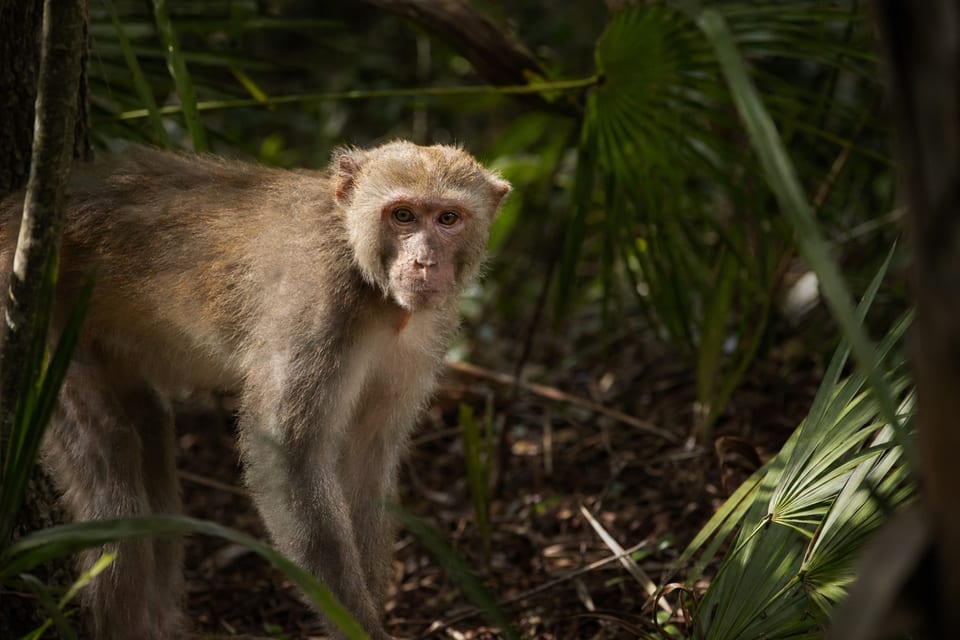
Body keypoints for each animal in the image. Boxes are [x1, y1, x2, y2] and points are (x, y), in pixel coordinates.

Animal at [0, 141, 510, 639]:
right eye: (403, 215)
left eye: (448, 219)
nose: (425, 262)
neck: (374, 287)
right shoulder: (317, 304)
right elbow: (284, 458)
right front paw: (358, 626)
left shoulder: (426, 332)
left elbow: (366, 458)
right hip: (33, 321)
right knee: (112, 465)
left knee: (149, 434)